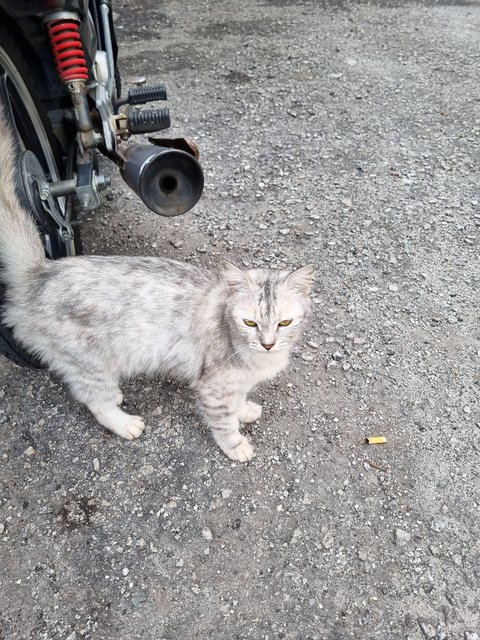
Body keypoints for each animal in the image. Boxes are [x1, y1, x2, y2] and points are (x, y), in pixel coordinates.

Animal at [0, 119, 316, 460]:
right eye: (249, 322)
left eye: (284, 323)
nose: (268, 344)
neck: (258, 360)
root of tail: (41, 271)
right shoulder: (214, 387)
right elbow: (223, 422)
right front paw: (236, 445)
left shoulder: (237, 382)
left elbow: (239, 400)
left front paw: (245, 410)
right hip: (90, 364)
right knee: (94, 400)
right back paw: (125, 423)